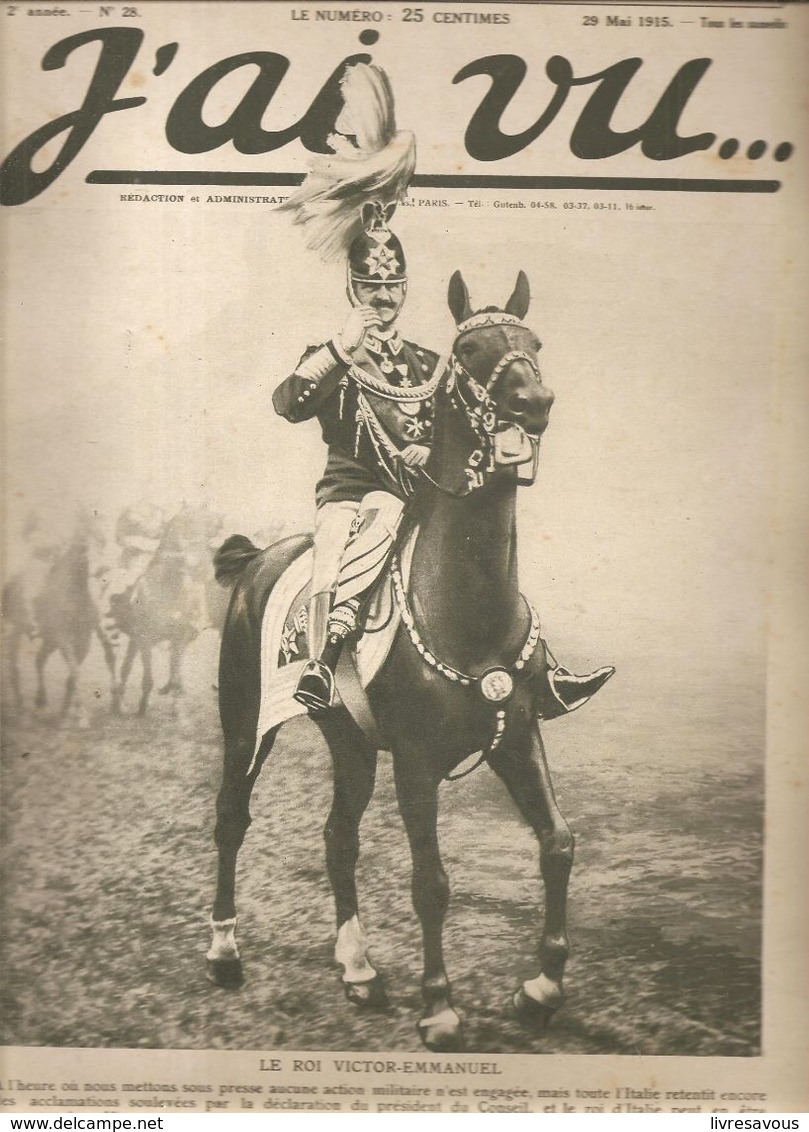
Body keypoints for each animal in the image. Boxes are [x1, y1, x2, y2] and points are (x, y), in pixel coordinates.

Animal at [209, 273, 588, 1050]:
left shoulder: (517, 737)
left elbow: (557, 843)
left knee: (337, 838)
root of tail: (255, 560)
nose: (534, 403)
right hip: (245, 727)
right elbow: (430, 882)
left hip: (350, 743)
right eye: (469, 351)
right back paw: (224, 953)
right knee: (231, 819)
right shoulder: (416, 762)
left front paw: (540, 988)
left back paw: (357, 970)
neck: (465, 605)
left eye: (532, 342)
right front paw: (439, 1007)